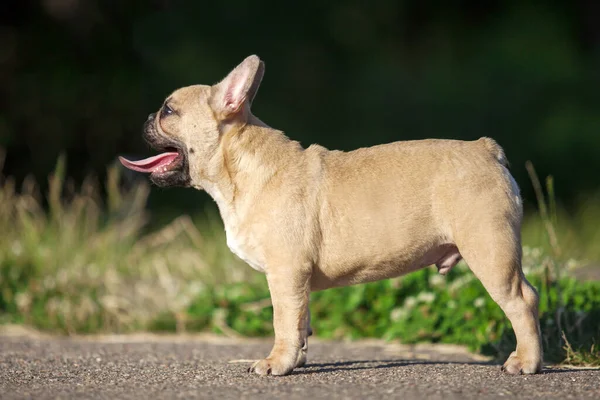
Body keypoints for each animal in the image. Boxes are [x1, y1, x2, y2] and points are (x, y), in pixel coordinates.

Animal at [118, 55, 544, 376]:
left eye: (168, 110)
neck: (239, 169)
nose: (146, 118)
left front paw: (276, 363)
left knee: (522, 300)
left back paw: (525, 362)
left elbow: (282, 321)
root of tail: (486, 150)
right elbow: (301, 322)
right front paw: (297, 359)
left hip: (489, 250)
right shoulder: (297, 281)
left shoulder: (285, 273)